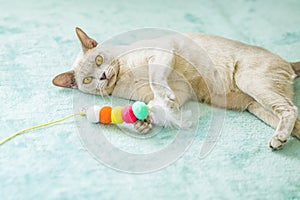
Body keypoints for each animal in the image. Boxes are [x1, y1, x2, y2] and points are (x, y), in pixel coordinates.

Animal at [52, 27, 298, 149]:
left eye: (99, 60)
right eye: (87, 80)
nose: (102, 76)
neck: (124, 78)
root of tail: (287, 61)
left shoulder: (161, 53)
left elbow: (156, 81)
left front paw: (158, 106)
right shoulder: (179, 92)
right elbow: (156, 105)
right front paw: (143, 123)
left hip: (250, 83)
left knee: (291, 109)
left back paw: (277, 139)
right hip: (255, 106)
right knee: (294, 117)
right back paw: (281, 140)